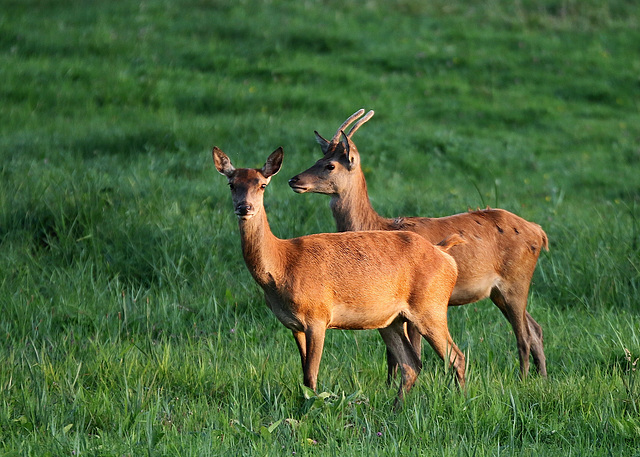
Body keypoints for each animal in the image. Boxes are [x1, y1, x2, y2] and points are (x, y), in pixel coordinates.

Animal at [214, 144, 464, 404]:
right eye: (231, 184)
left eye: (262, 184)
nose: (244, 208)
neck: (282, 266)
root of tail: (443, 253)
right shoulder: (294, 326)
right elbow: (304, 374)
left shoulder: (317, 316)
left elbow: (311, 377)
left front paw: (311, 407)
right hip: (391, 320)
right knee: (412, 364)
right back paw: (396, 407)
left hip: (430, 307)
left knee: (456, 357)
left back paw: (461, 400)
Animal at [288, 109, 548, 378]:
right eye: (317, 159)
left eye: (330, 165)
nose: (294, 179)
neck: (377, 224)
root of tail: (538, 231)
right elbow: (393, 356)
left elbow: (412, 353)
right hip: (499, 291)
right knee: (536, 329)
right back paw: (541, 377)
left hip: (515, 280)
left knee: (523, 335)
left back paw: (523, 378)